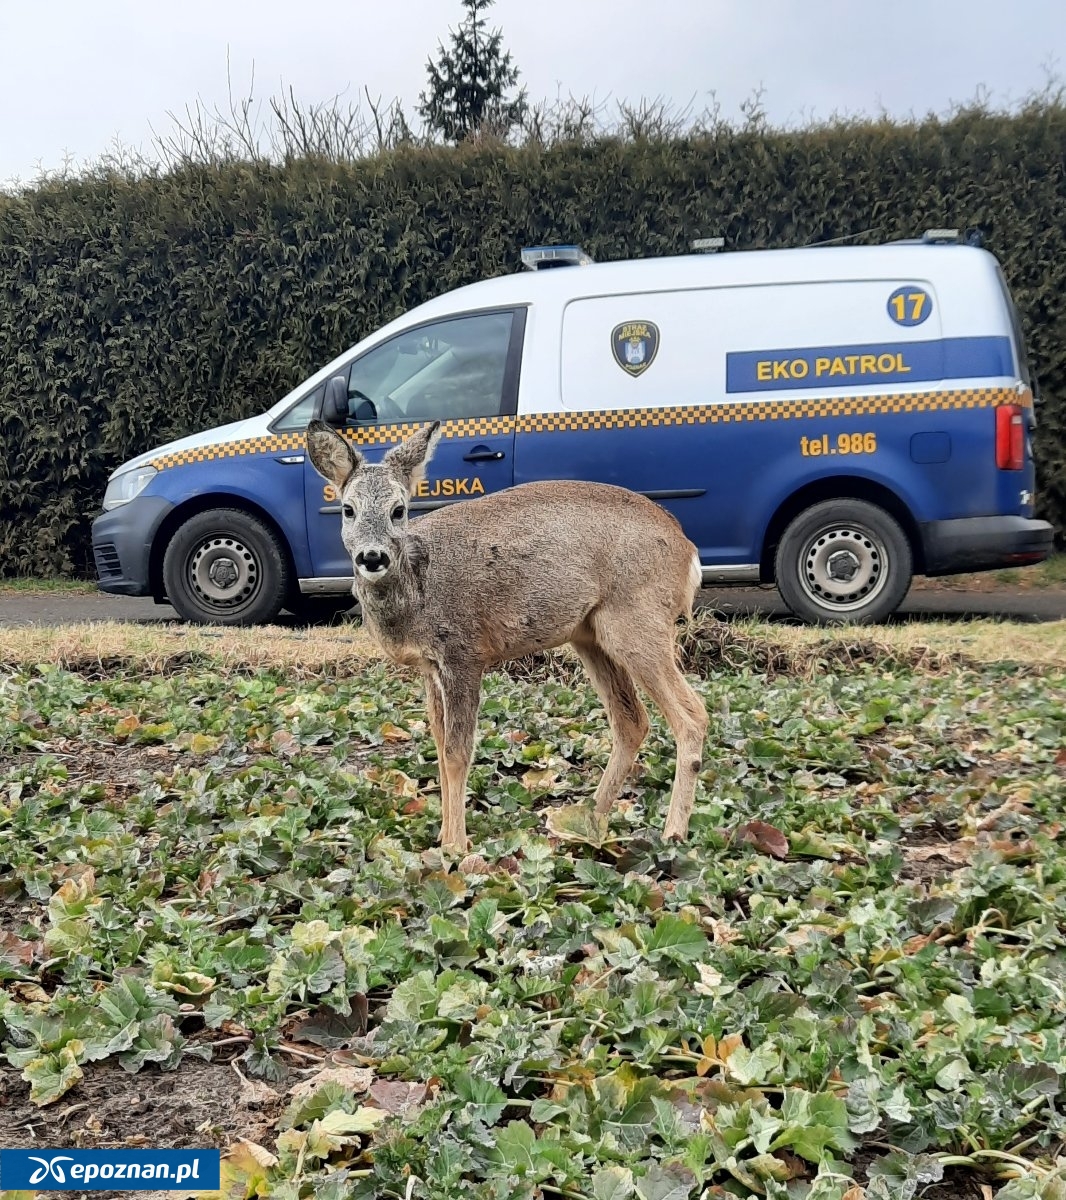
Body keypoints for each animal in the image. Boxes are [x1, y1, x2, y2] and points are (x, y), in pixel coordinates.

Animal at [307, 417, 705, 849]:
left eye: (398, 510)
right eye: (348, 510)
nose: (372, 556)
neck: (417, 590)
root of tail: (688, 550)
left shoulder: (463, 652)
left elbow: (457, 753)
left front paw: (455, 846)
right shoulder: (429, 667)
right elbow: (439, 746)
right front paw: (442, 835)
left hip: (638, 621)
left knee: (692, 715)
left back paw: (673, 833)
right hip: (590, 635)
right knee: (632, 721)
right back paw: (582, 822)